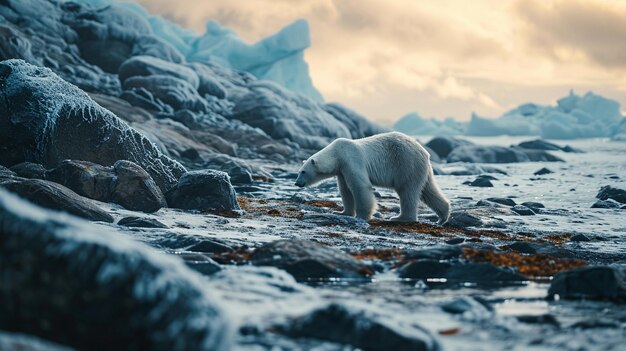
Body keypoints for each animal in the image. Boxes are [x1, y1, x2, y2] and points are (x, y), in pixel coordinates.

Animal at [294, 131, 448, 224]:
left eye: (303, 172)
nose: (296, 183)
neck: (337, 154)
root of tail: (425, 153)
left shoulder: (352, 160)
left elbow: (360, 187)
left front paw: (362, 216)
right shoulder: (342, 170)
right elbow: (345, 190)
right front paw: (342, 212)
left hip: (406, 164)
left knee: (407, 192)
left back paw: (400, 218)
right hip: (421, 170)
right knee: (428, 190)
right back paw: (442, 217)